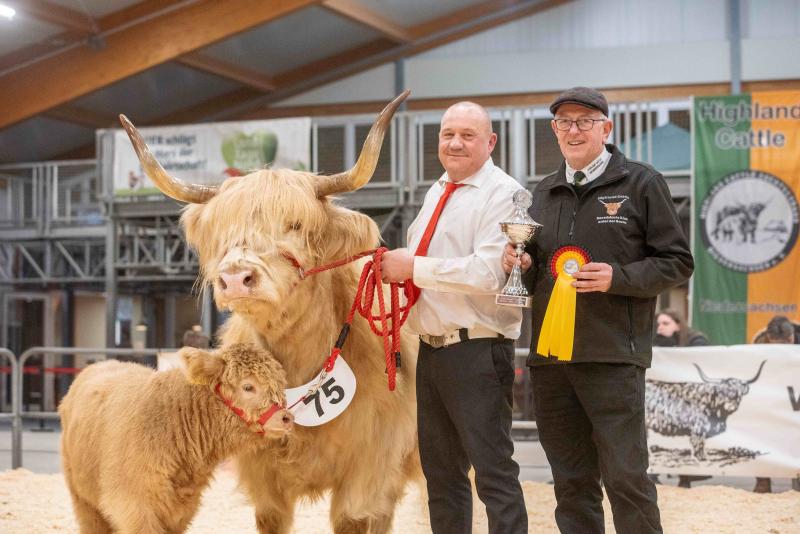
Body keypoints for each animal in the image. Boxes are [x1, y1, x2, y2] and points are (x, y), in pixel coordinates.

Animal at [59, 343, 292, 534]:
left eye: (279, 386)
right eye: (248, 386)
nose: (286, 418)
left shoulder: (183, 509)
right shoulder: (132, 506)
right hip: (83, 499)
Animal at [118, 91, 420, 534]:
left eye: (294, 224)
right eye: (224, 231)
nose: (235, 277)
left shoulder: (368, 470)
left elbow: (354, 518)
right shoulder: (263, 478)